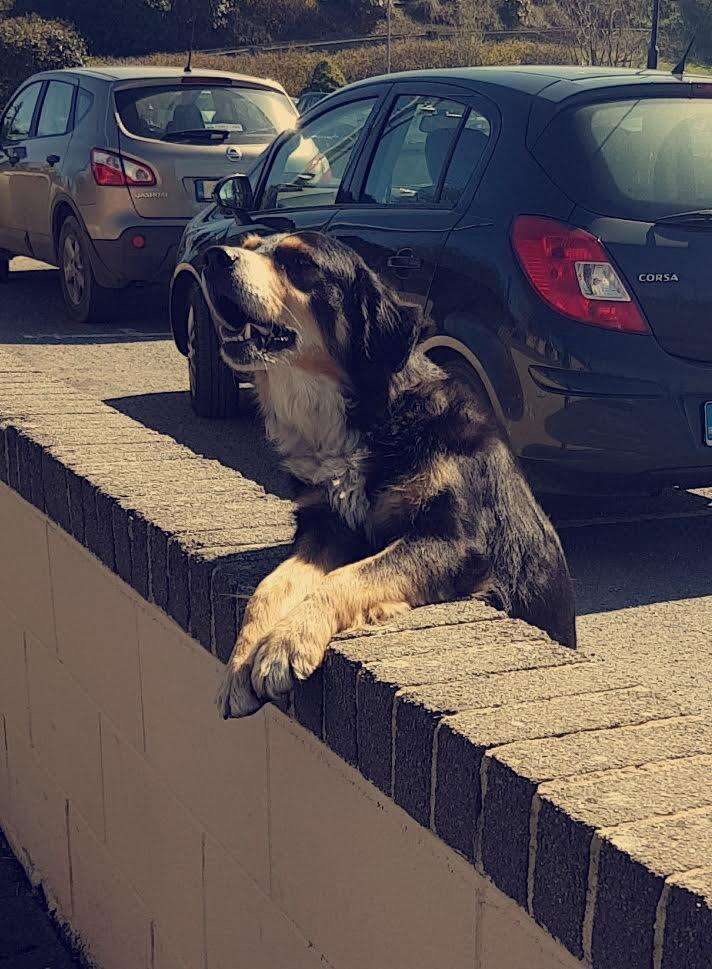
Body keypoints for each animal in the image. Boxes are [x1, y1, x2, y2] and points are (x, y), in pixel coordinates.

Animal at [199, 229, 572, 720]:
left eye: (299, 263)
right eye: (249, 244)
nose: (212, 258)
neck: (370, 418)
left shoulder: (452, 540)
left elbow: (348, 577)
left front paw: (286, 643)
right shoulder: (326, 526)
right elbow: (270, 587)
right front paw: (239, 663)